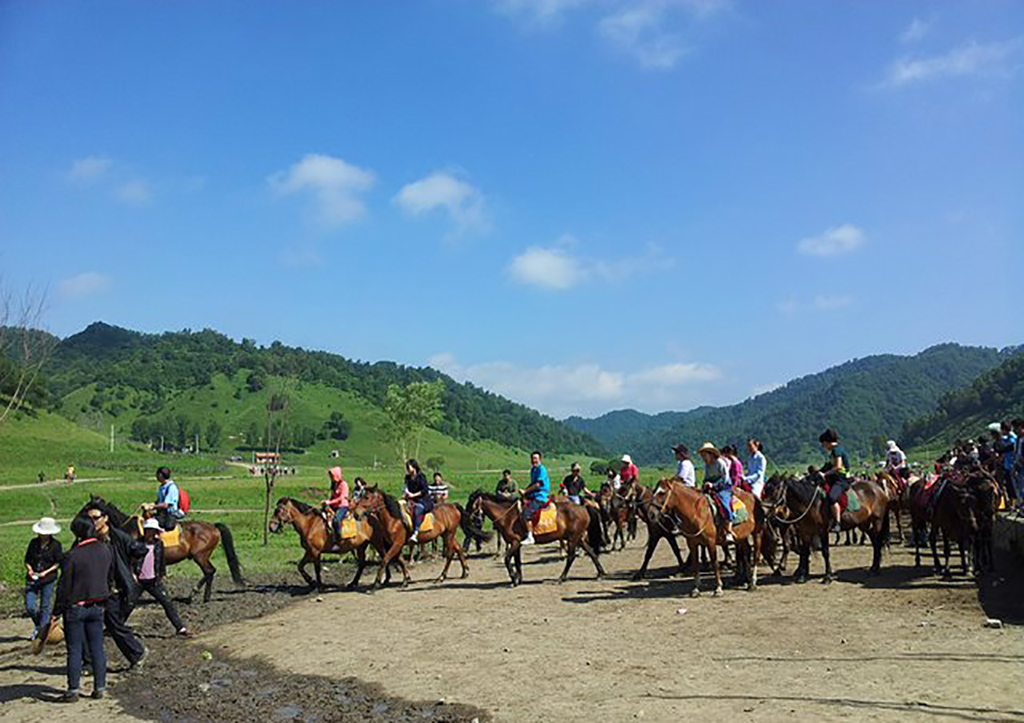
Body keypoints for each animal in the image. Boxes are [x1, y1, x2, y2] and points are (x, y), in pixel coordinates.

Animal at [89, 493, 244, 598]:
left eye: (93, 514)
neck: (128, 529)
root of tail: (213, 526)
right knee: (209, 572)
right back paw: (203, 596)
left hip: (200, 555)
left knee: (210, 571)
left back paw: (195, 594)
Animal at [468, 487, 602, 581]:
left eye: (471, 503)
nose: (468, 516)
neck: (508, 516)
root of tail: (583, 507)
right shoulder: (517, 544)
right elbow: (517, 562)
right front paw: (518, 579)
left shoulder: (515, 542)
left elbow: (507, 559)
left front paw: (513, 578)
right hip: (578, 537)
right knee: (591, 552)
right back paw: (601, 573)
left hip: (573, 538)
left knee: (571, 556)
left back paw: (562, 577)